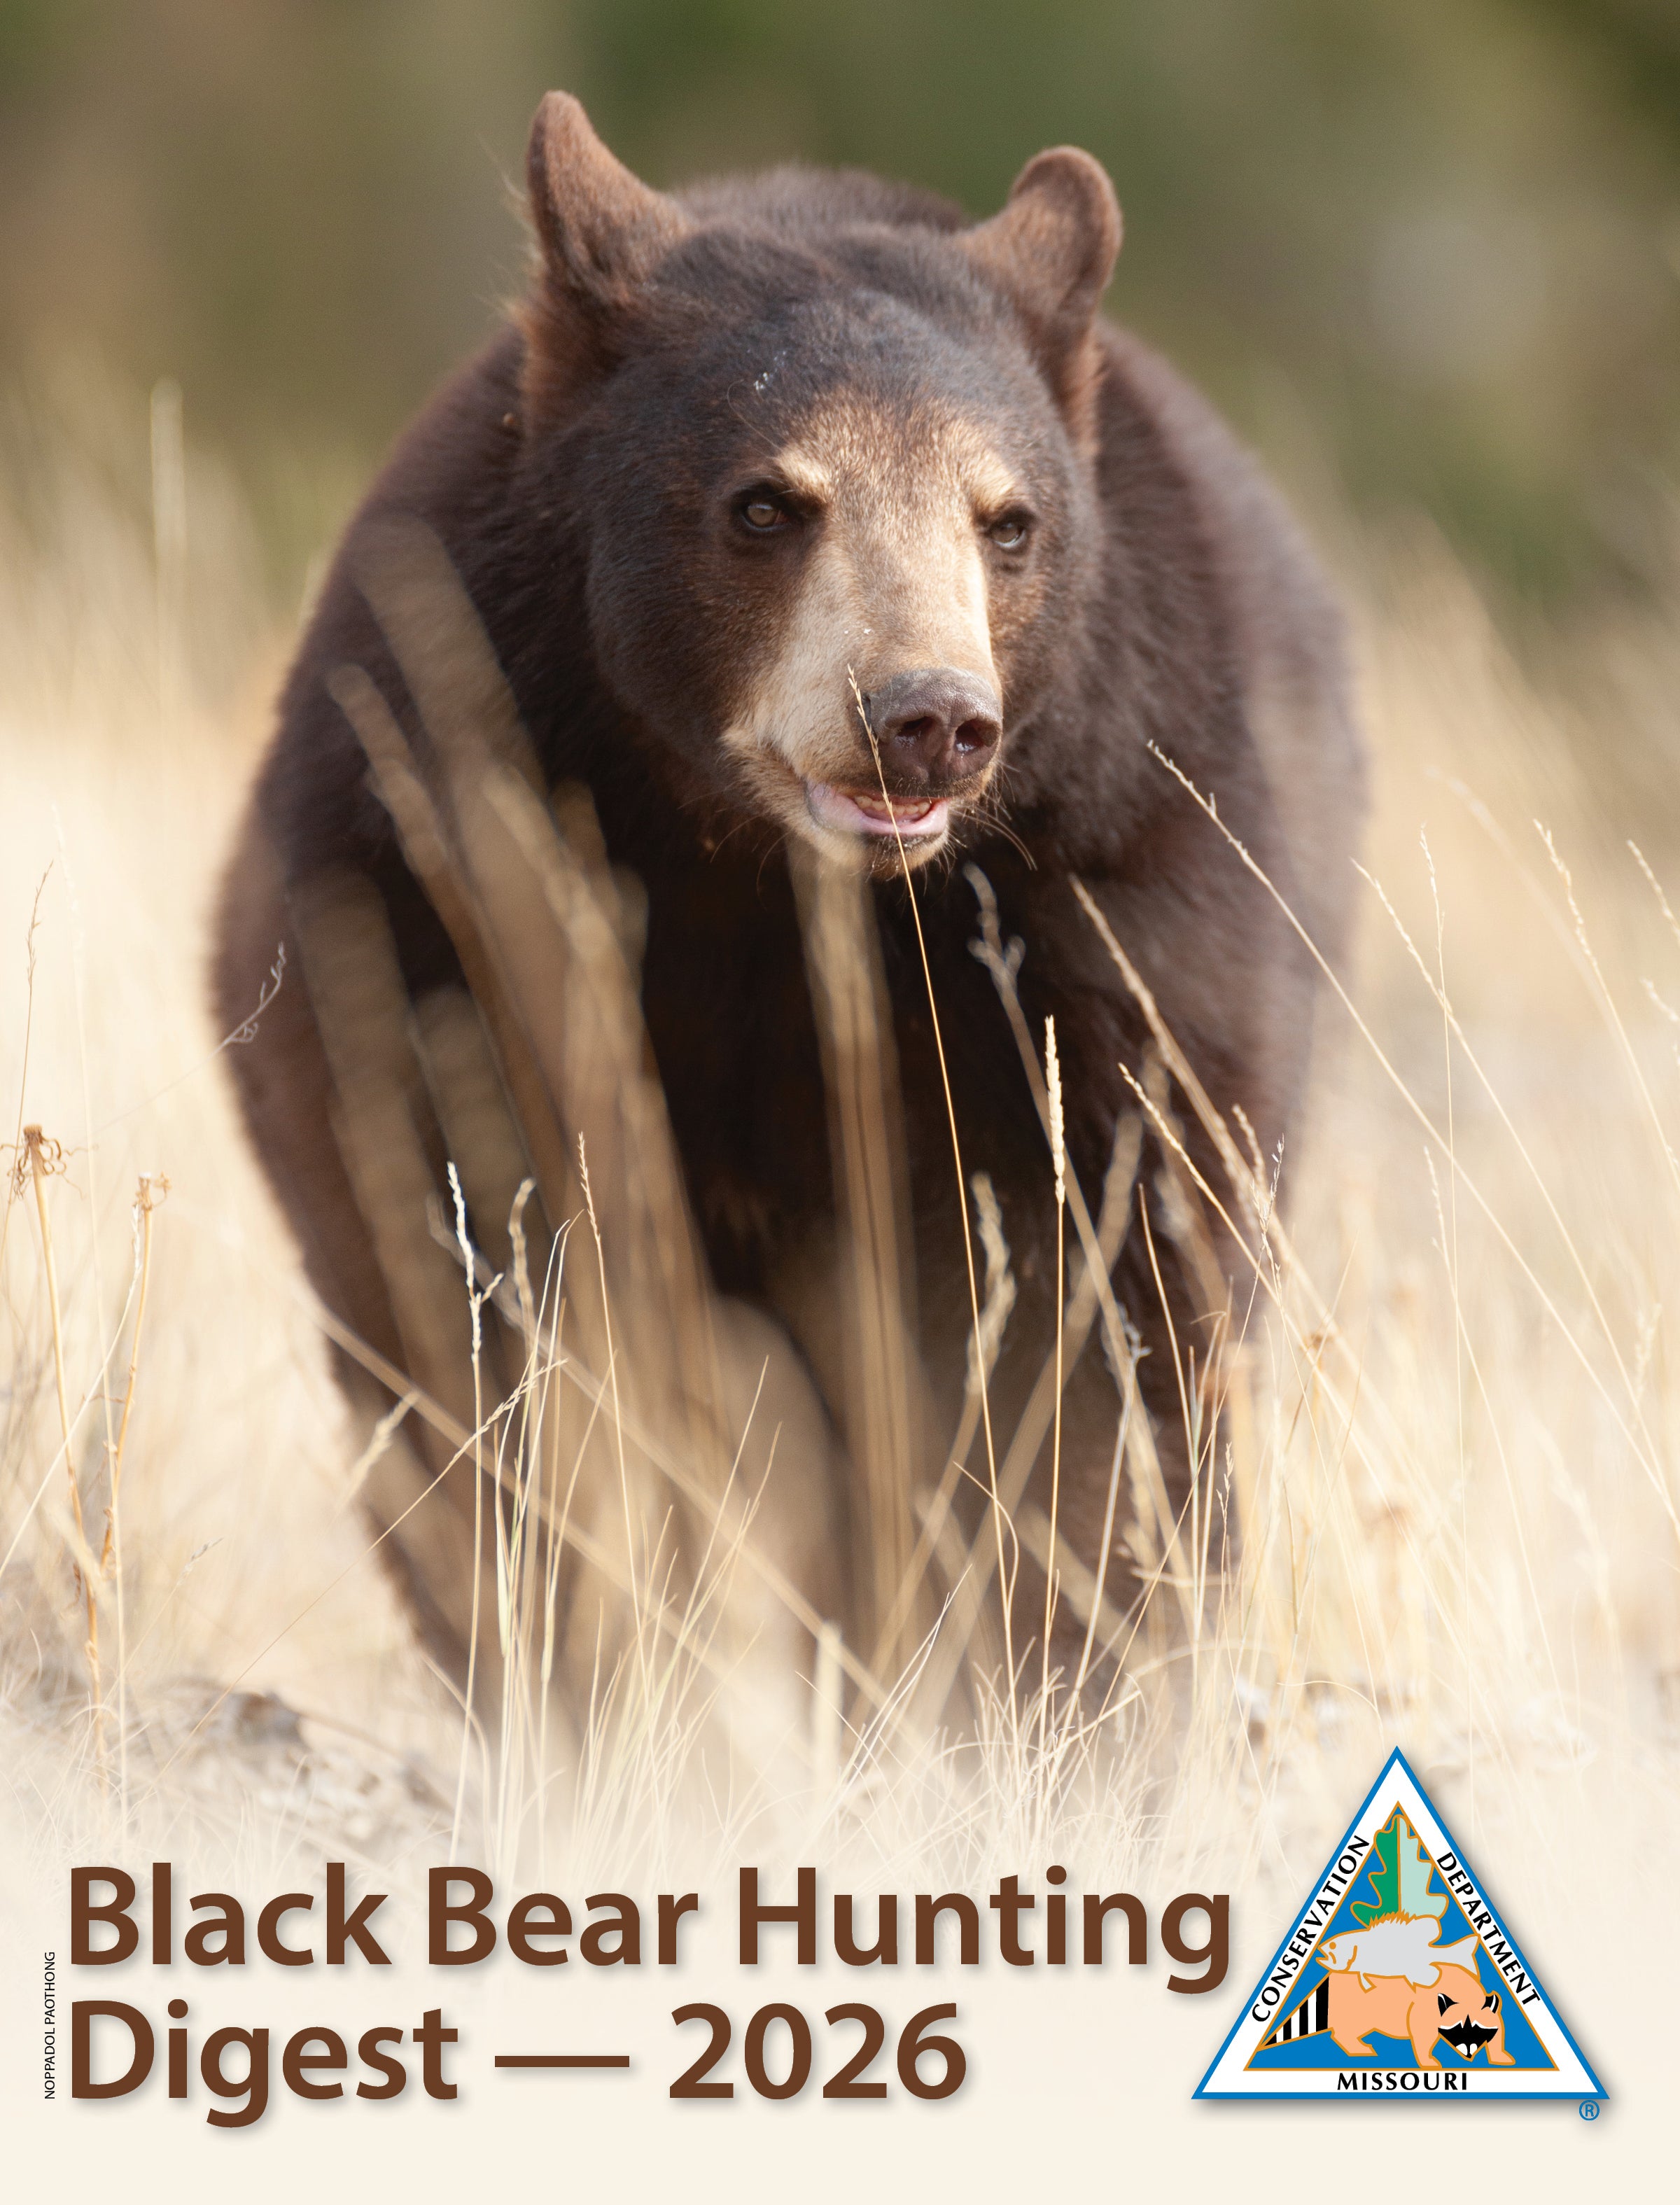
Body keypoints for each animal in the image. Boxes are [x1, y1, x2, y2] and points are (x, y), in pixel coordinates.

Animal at [212, 91, 1364, 1708]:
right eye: (768, 502)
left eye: (1006, 522)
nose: (926, 717)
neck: (755, 870)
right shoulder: (424, 847)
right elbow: (471, 1253)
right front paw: (583, 1661)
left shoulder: (1112, 892)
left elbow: (1103, 1298)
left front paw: (1067, 1679)